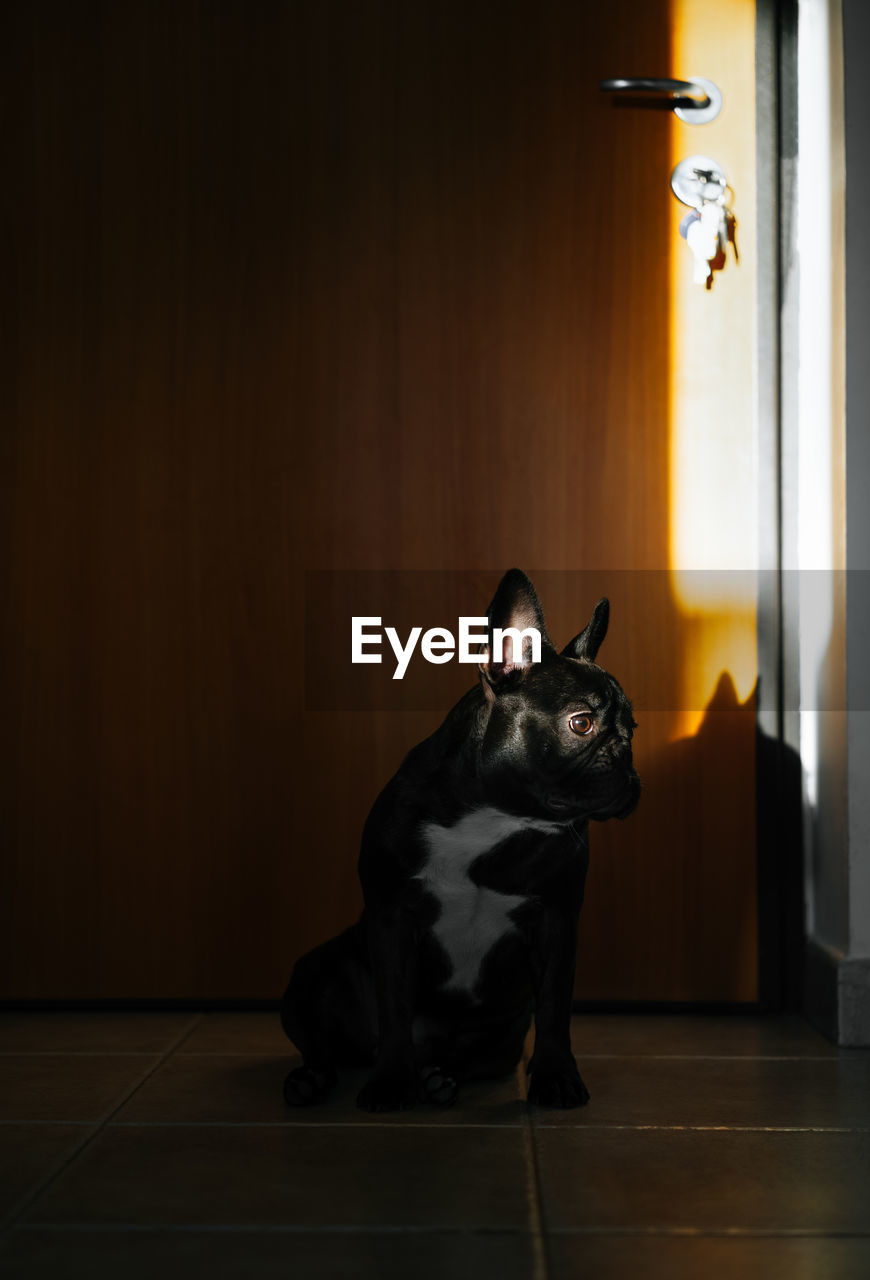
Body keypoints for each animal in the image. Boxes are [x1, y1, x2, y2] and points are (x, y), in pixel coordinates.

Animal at [281, 570, 642, 1111]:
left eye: (632, 729)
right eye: (581, 723)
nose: (627, 766)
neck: (495, 817)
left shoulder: (558, 921)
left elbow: (556, 1008)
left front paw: (556, 1077)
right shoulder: (391, 918)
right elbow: (393, 1008)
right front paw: (392, 1083)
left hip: (503, 1034)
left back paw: (436, 1077)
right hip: (310, 972)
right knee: (323, 1045)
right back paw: (317, 1079)